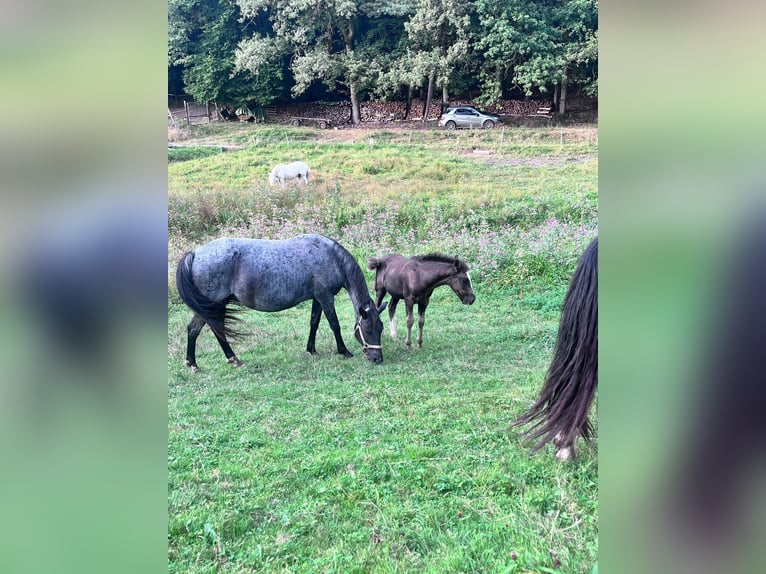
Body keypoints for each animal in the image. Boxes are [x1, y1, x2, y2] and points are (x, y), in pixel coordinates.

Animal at [176, 235, 388, 374]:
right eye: (367, 329)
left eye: (381, 328)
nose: (377, 359)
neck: (331, 257)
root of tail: (195, 253)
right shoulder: (325, 297)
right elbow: (334, 324)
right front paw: (344, 351)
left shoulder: (317, 298)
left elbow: (314, 323)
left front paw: (311, 349)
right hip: (213, 305)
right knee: (207, 329)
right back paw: (223, 360)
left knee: (199, 329)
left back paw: (197, 362)